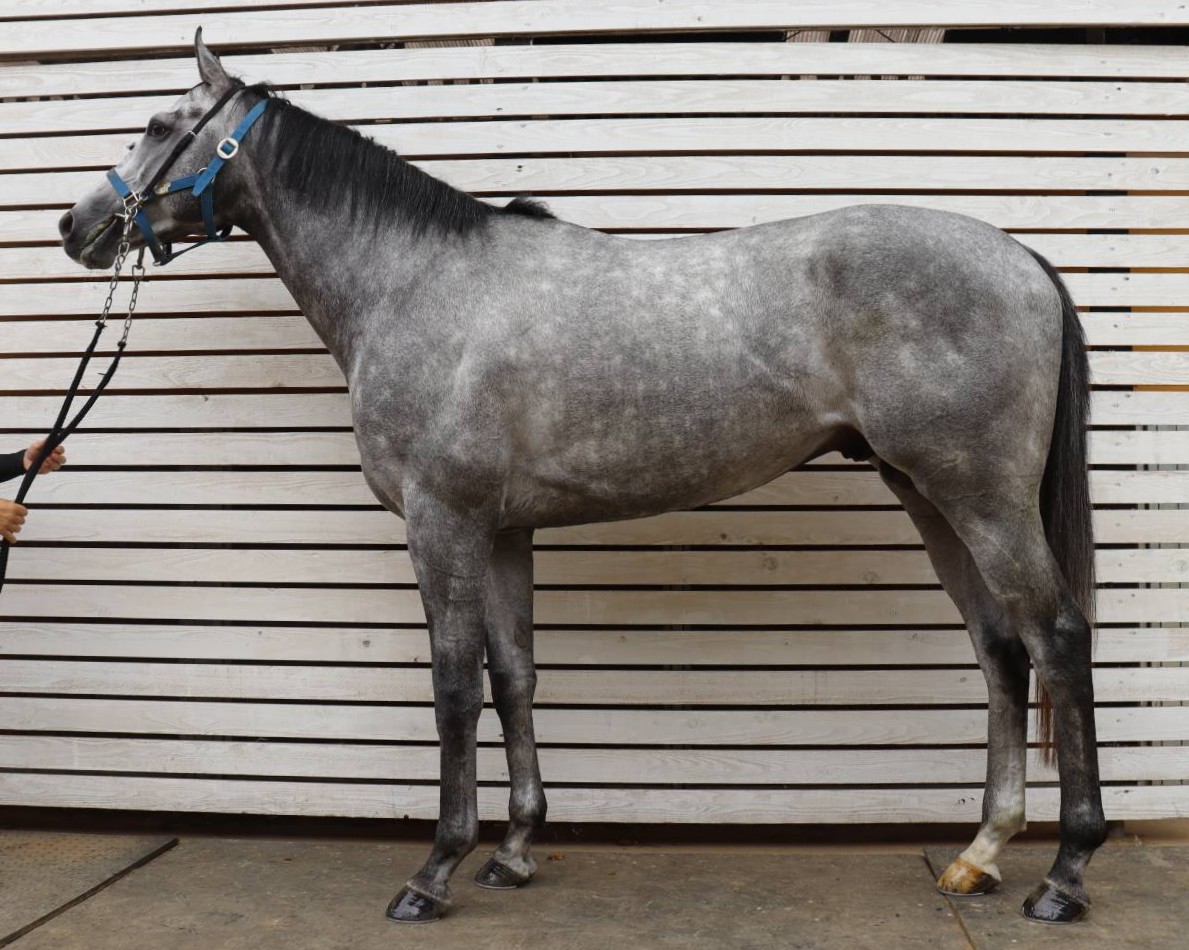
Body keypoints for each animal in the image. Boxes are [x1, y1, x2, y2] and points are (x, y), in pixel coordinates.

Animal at [58, 31, 1105, 926]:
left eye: (155, 123)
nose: (78, 227)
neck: (416, 282)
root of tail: (1021, 260)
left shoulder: (441, 523)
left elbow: (454, 684)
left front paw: (434, 870)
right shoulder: (503, 531)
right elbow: (515, 675)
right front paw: (515, 850)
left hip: (980, 497)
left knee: (1053, 638)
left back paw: (1062, 874)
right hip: (928, 493)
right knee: (1000, 650)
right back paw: (979, 853)